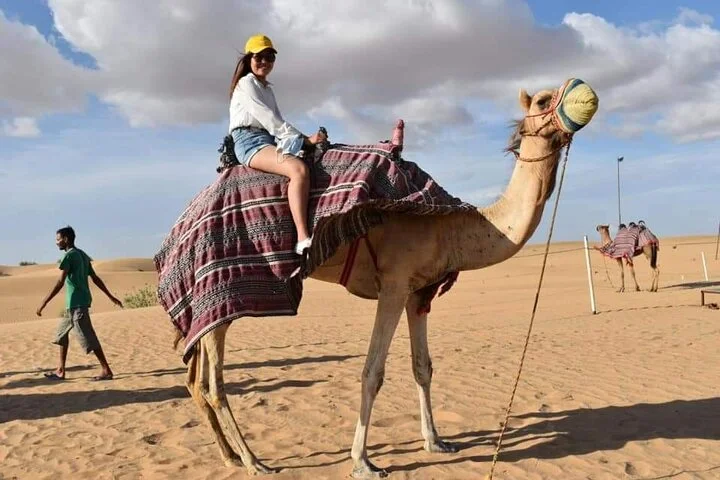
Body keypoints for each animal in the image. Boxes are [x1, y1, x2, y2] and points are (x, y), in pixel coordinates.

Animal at [180, 79, 598, 478]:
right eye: (543, 100)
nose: (588, 96)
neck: (448, 226)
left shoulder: (418, 293)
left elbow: (422, 366)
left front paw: (436, 442)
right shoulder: (393, 286)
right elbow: (372, 372)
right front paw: (363, 462)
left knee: (198, 379)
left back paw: (231, 456)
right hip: (223, 292)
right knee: (214, 383)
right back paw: (254, 462)